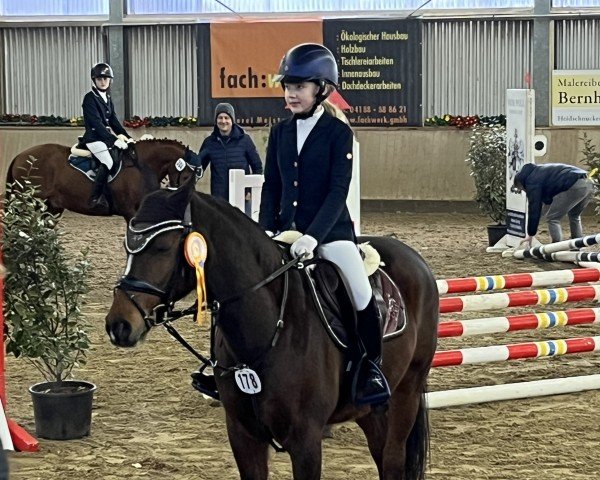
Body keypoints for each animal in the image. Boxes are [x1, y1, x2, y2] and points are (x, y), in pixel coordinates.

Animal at [6, 139, 197, 221]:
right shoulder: (130, 212)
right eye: (186, 176)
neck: (141, 166)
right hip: (28, 204)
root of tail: (19, 156)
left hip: (53, 207)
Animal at [105, 178, 438, 478]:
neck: (269, 329)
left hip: (406, 392)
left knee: (393, 460)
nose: (118, 325)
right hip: (369, 409)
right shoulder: (243, 436)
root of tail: (414, 257)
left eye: (162, 247)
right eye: (126, 246)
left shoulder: (305, 441)